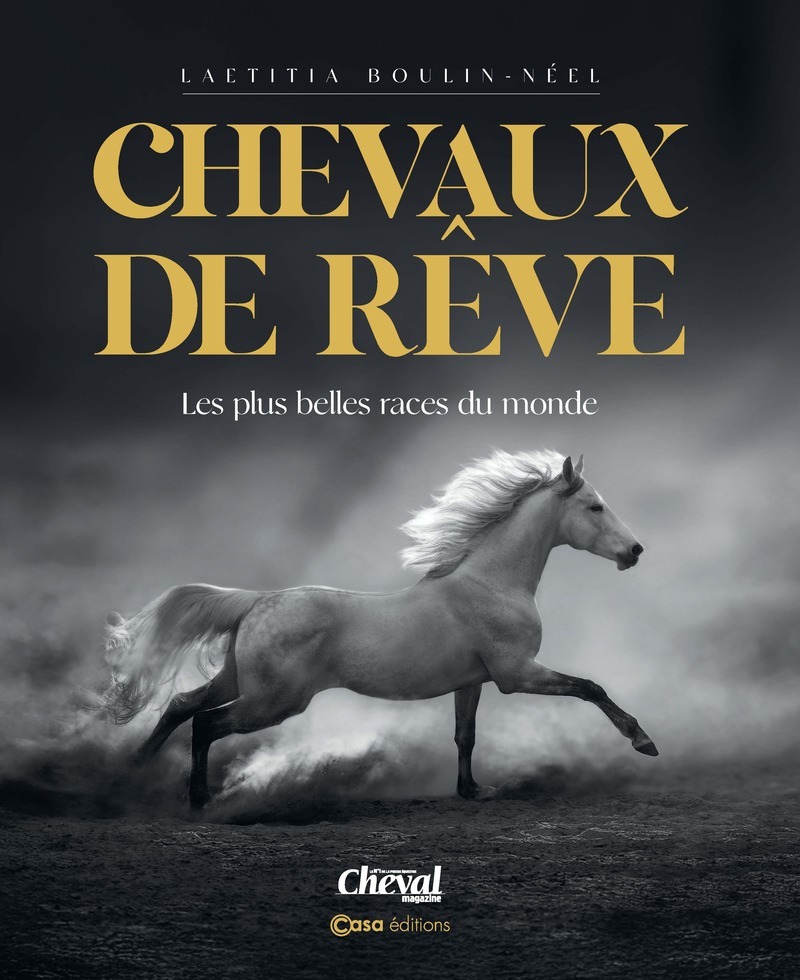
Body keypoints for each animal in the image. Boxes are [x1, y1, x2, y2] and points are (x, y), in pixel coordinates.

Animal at [103, 449, 657, 809]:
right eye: (594, 506)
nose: (635, 551)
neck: (491, 583)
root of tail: (257, 601)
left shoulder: (473, 681)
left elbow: (465, 735)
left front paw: (472, 791)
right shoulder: (517, 674)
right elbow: (590, 687)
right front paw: (642, 741)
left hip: (239, 681)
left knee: (181, 705)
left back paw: (136, 767)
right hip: (273, 701)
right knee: (205, 723)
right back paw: (198, 799)